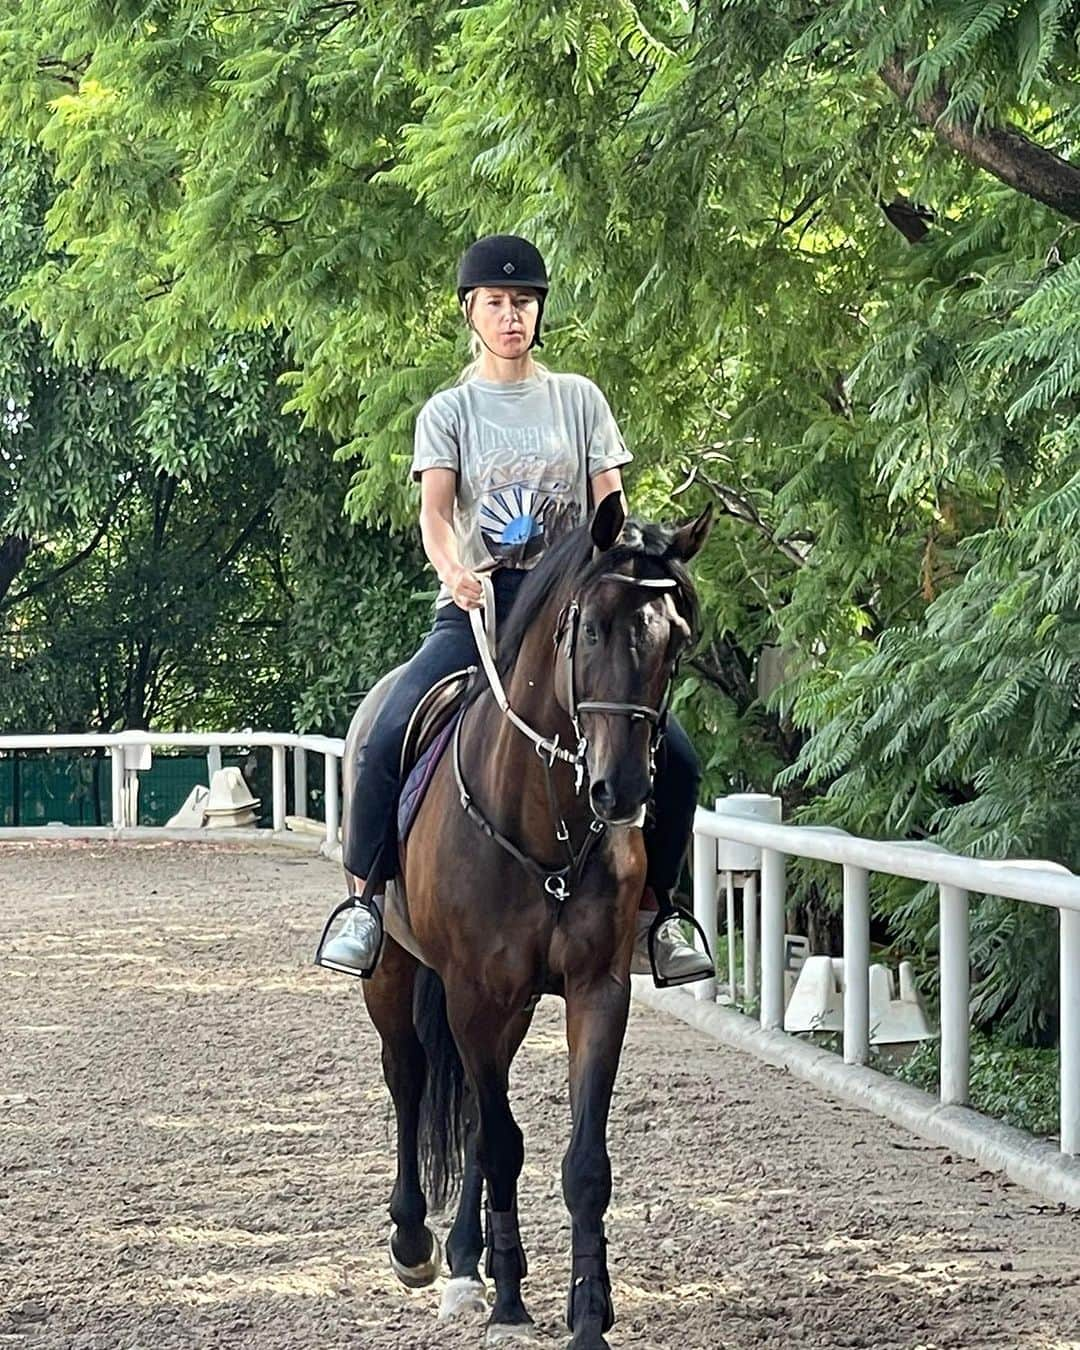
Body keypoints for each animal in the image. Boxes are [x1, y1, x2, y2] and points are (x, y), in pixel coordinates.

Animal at [351, 496, 712, 1350]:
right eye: (590, 628)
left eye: (676, 640)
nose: (622, 790)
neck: (545, 823)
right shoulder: (471, 994)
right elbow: (502, 1141)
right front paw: (513, 1302)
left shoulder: (595, 989)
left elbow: (581, 1163)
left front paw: (588, 1314)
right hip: (397, 972)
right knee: (409, 1076)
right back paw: (417, 1245)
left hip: (508, 1007)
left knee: (472, 1117)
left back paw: (464, 1262)